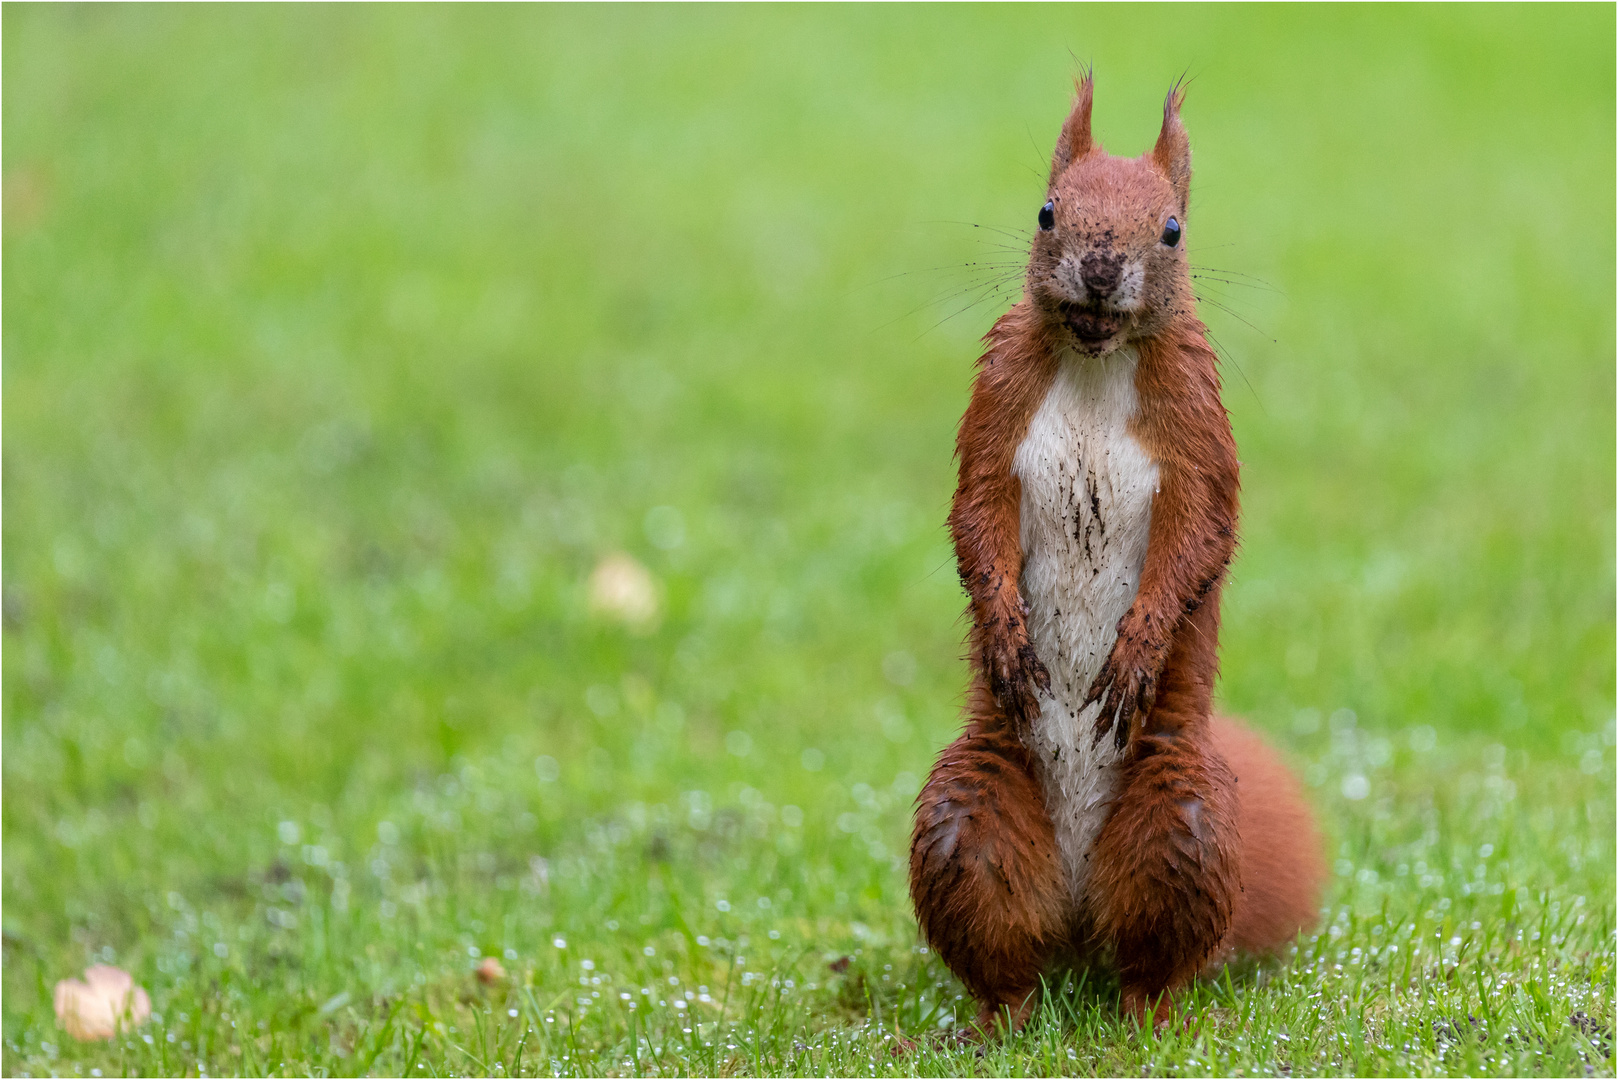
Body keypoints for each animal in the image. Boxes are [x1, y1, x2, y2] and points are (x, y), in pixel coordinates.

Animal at [912, 80, 1326, 1036]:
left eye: (1171, 228)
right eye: (1046, 211)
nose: (1101, 269)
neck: (1098, 356)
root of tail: (1075, 915)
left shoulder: (1198, 425)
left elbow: (1201, 534)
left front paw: (1138, 644)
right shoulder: (997, 400)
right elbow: (975, 515)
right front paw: (1004, 632)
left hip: (1182, 819)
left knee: (1156, 958)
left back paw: (1149, 1019)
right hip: (965, 824)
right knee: (1005, 956)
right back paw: (997, 1021)